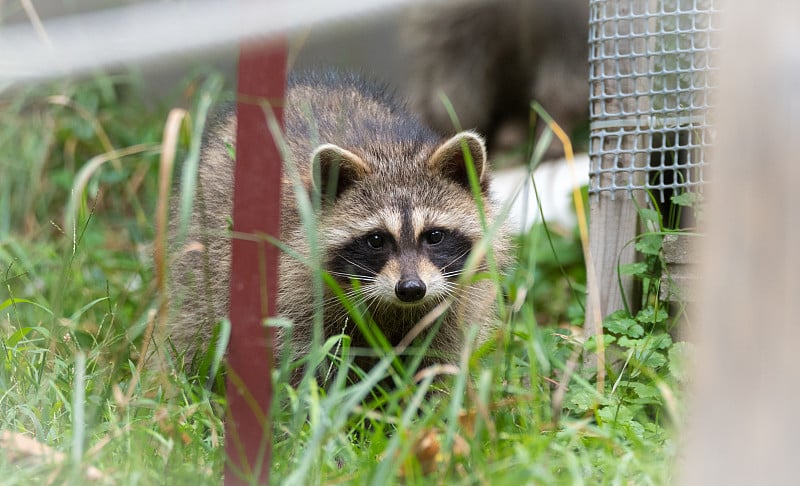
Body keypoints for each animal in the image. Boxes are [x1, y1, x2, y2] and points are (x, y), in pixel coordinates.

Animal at [166, 70, 512, 378]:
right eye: (376, 240)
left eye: (434, 236)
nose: (411, 289)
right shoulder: (296, 294)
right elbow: (306, 365)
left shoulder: (457, 303)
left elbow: (439, 360)